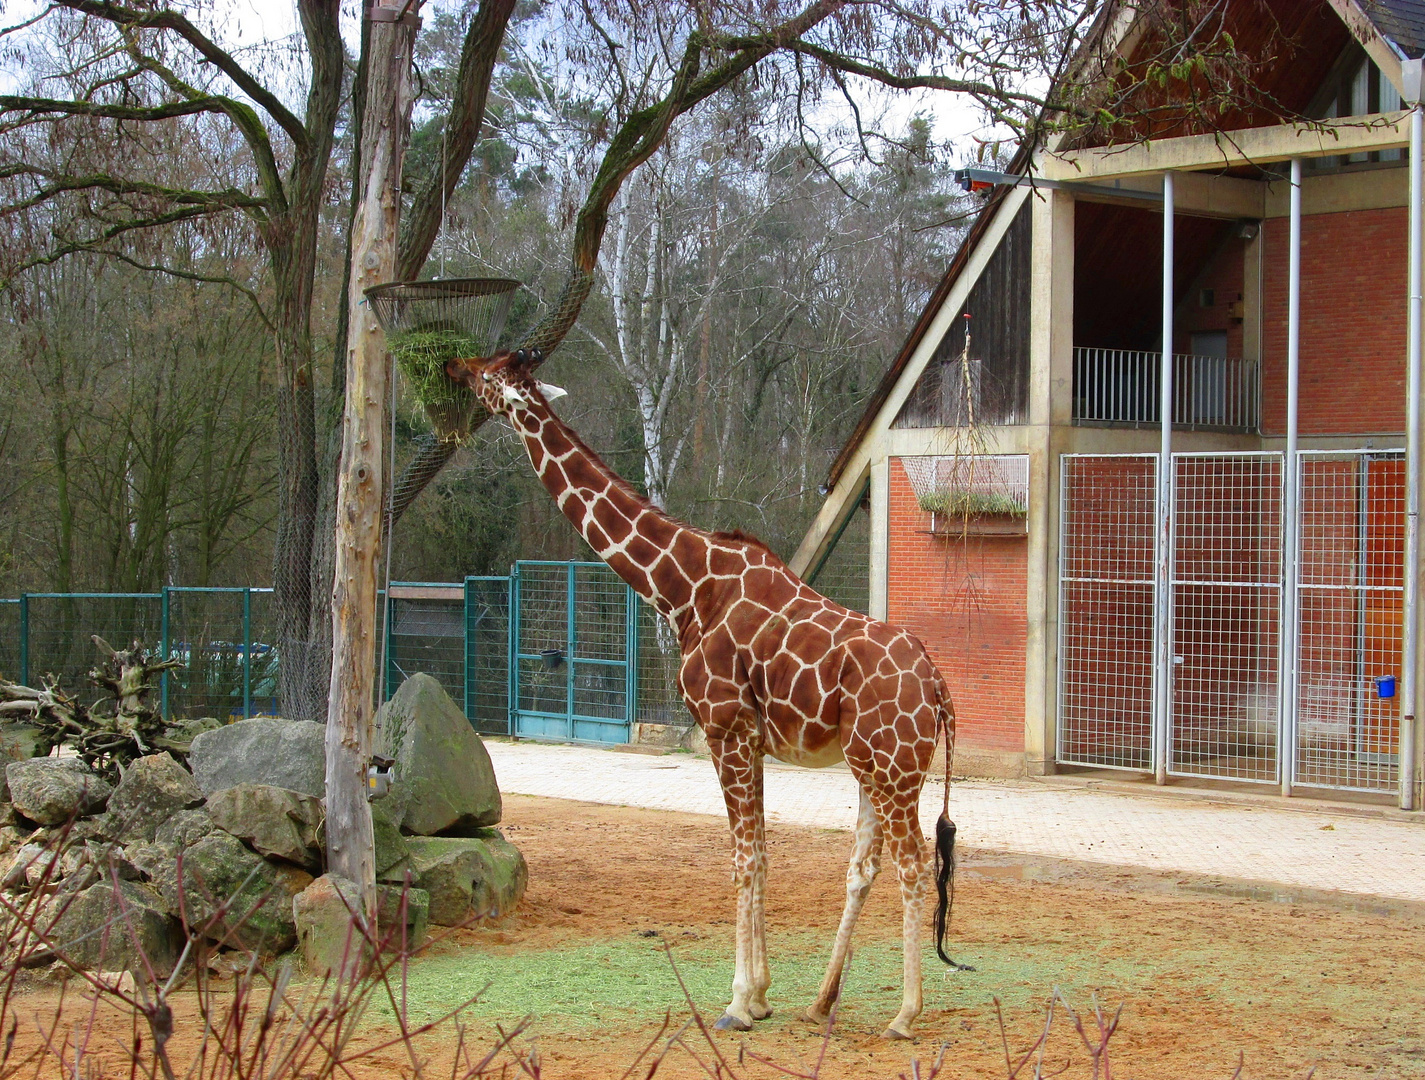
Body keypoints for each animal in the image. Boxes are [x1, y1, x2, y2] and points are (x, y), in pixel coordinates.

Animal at [447, 349, 957, 1042]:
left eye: (491, 372)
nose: (452, 368)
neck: (683, 587)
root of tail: (935, 683)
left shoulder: (724, 730)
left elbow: (742, 858)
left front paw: (738, 1002)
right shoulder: (751, 740)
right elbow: (761, 855)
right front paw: (763, 996)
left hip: (895, 767)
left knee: (913, 864)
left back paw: (905, 1015)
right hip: (873, 766)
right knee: (865, 866)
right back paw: (821, 1002)